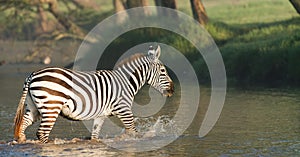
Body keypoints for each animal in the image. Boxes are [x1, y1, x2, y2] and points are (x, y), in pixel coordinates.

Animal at [13, 44, 173, 143]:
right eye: (163, 71)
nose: (172, 90)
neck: (125, 83)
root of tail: (33, 74)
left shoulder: (101, 115)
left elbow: (95, 136)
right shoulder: (124, 110)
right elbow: (133, 132)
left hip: (34, 107)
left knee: (23, 125)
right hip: (51, 107)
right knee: (42, 133)